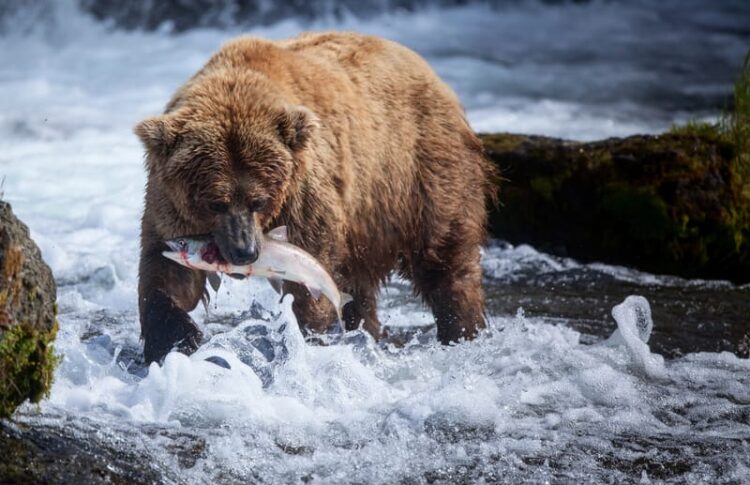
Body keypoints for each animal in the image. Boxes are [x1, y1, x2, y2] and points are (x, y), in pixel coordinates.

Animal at [135, 32, 496, 364]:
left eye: (259, 200)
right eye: (215, 202)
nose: (244, 251)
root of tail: (430, 72)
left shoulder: (303, 197)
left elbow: (309, 277)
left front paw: (304, 337)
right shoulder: (171, 204)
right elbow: (168, 275)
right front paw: (176, 342)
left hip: (419, 171)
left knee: (445, 257)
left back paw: (462, 330)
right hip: (365, 218)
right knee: (359, 285)